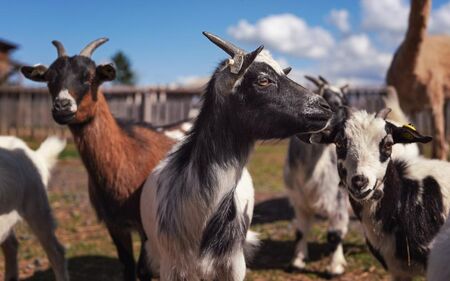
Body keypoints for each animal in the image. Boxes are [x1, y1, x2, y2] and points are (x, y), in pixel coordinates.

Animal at [22, 38, 175, 280]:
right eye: (49, 78)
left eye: (90, 76)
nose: (62, 106)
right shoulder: (114, 224)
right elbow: (127, 265)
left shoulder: (146, 226)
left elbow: (143, 270)